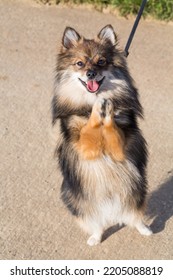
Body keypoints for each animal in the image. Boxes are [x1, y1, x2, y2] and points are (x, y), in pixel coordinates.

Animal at [52, 25, 152, 246]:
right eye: (80, 63)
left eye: (101, 62)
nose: (90, 73)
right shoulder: (84, 146)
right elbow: (88, 125)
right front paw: (98, 109)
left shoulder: (120, 145)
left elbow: (112, 124)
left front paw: (108, 107)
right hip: (77, 202)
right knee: (97, 224)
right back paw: (95, 238)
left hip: (137, 191)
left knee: (135, 217)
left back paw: (145, 229)